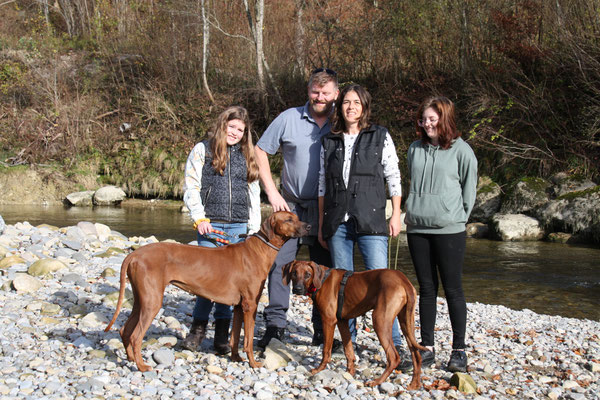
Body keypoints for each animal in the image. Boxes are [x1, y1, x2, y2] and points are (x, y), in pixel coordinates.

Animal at [105, 211, 310, 374]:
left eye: (297, 217)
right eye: (289, 219)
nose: (309, 226)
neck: (258, 250)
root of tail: (134, 254)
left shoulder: (239, 307)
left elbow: (235, 337)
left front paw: (235, 358)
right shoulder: (250, 305)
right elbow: (248, 341)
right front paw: (253, 363)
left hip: (141, 299)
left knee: (125, 330)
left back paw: (131, 359)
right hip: (153, 301)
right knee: (135, 336)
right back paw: (141, 366)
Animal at [282, 260, 426, 390]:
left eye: (307, 274)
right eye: (294, 273)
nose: (297, 289)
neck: (321, 280)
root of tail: (403, 280)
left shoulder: (328, 321)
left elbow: (326, 350)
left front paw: (319, 369)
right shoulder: (342, 321)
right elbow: (349, 351)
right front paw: (350, 372)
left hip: (380, 320)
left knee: (394, 357)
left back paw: (377, 381)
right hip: (406, 322)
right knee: (416, 355)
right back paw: (414, 384)